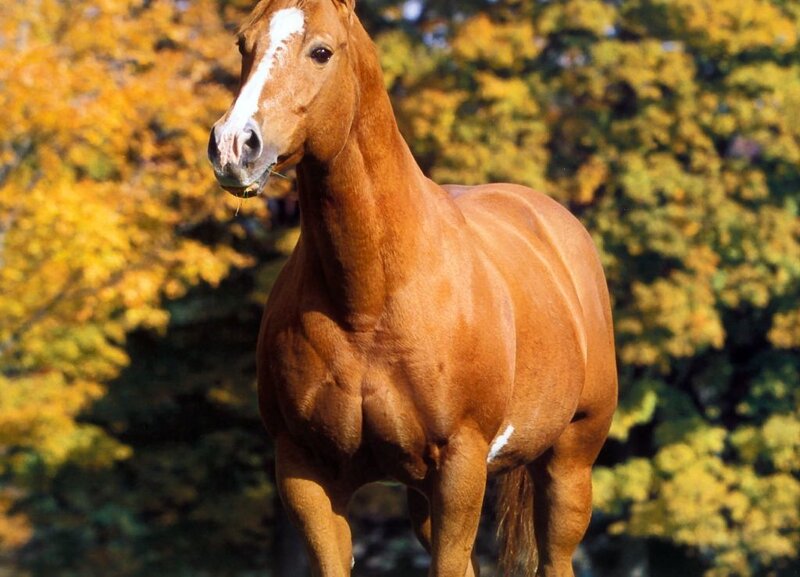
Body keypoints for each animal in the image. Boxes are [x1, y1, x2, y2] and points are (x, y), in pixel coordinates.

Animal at [207, 1, 617, 575]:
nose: (233, 146)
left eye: (321, 51)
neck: (368, 302)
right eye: (244, 44)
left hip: (568, 466)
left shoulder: (461, 467)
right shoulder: (305, 473)